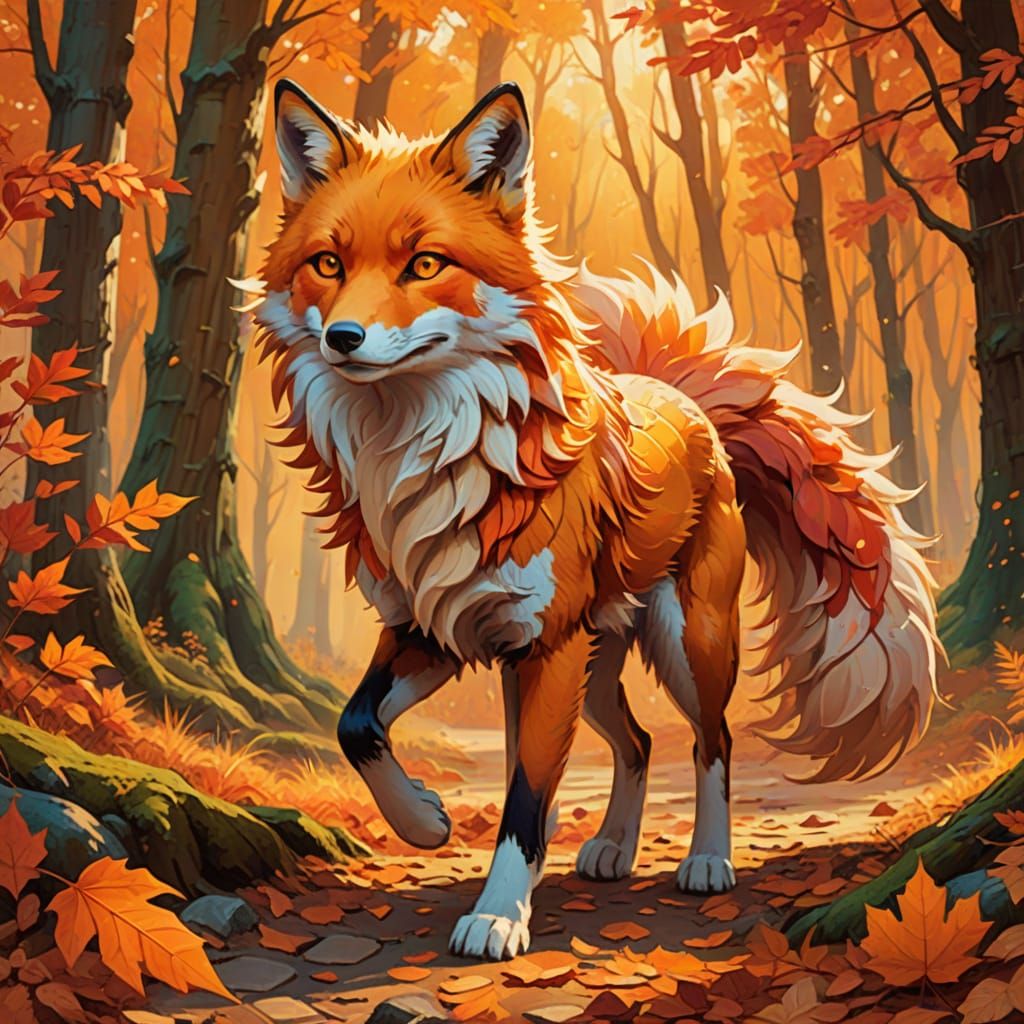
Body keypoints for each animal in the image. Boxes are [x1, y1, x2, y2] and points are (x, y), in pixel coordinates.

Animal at [253, 79, 940, 961]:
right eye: (328, 265)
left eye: (425, 264)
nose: (344, 338)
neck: (423, 461)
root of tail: (678, 396)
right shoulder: (433, 628)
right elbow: (356, 725)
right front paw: (426, 824)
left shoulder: (544, 646)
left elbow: (522, 802)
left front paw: (497, 916)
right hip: (594, 665)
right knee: (638, 742)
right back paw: (612, 847)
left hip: (686, 644)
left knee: (712, 743)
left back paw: (707, 862)